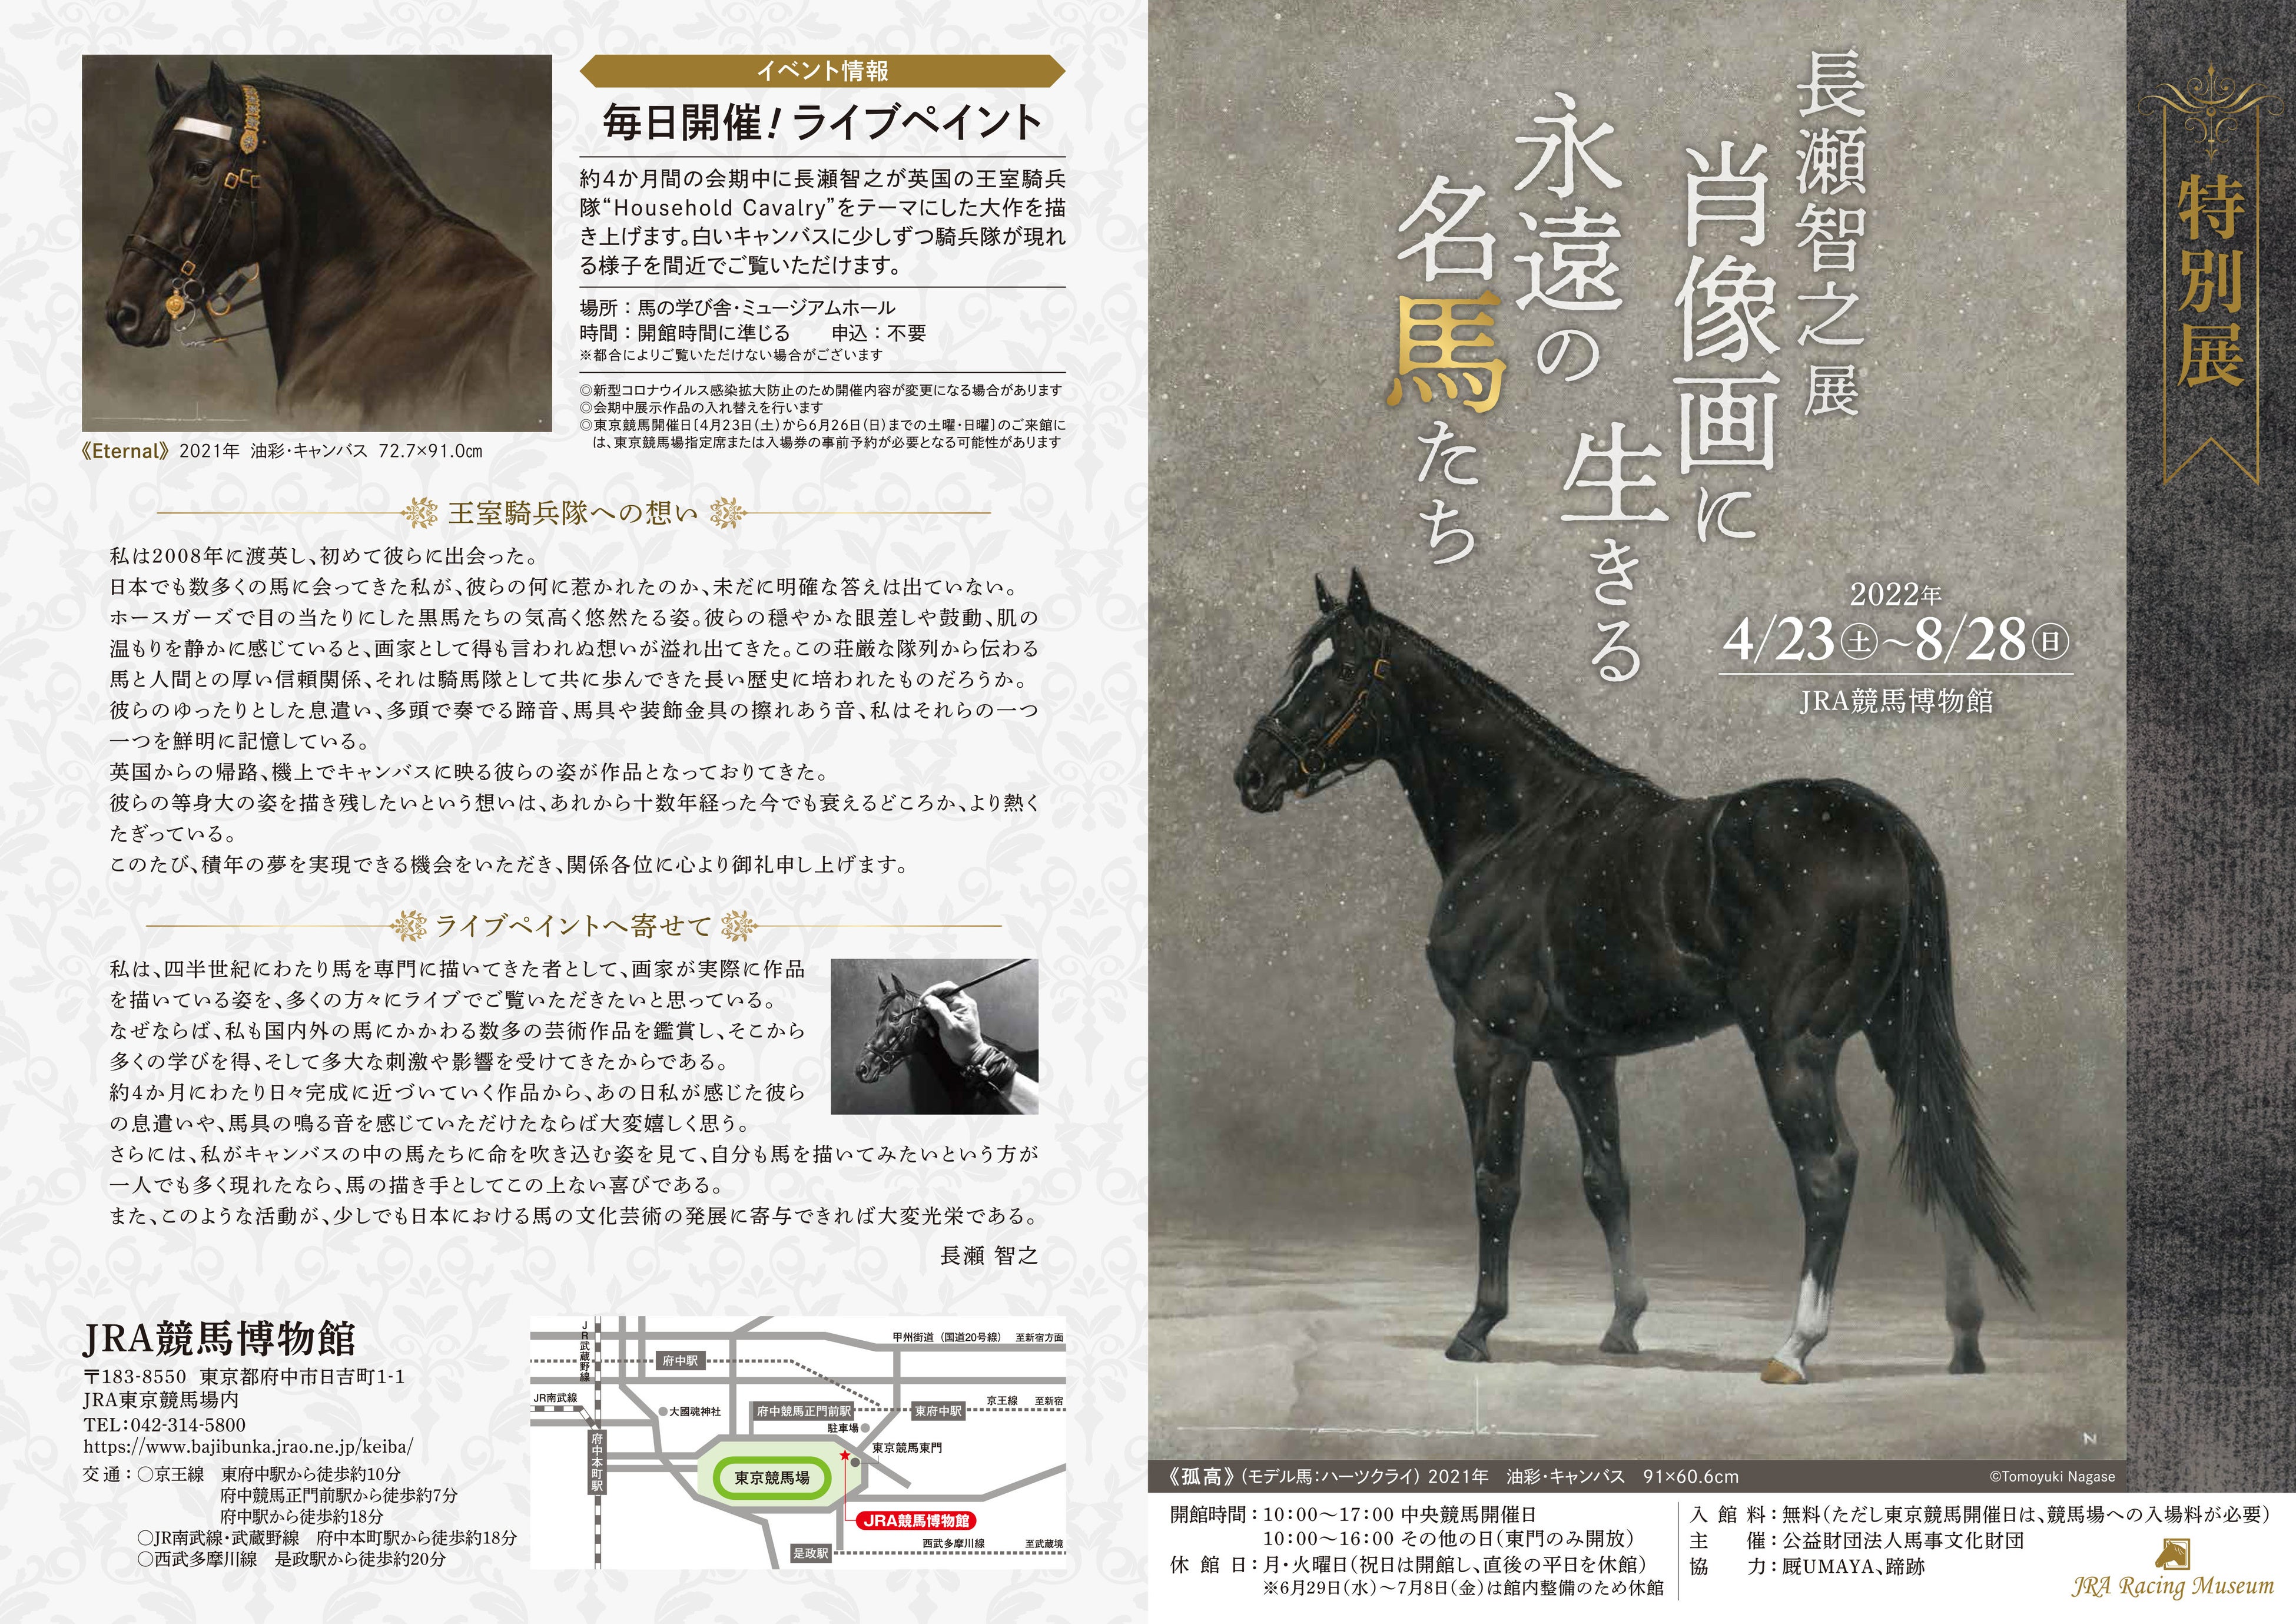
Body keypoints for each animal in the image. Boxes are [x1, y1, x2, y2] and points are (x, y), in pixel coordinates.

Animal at [1231, 570, 2028, 1383]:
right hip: (1893, 1037)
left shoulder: (1490, 1042)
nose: (1252, 773)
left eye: (1337, 672)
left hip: (1793, 1048)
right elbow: (1606, 1184)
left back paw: (1794, 1348)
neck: (1520, 830)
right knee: (1937, 1156)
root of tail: (1887, 827)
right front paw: (1623, 1324)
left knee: (1827, 1171)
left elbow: (1496, 1182)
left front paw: (1478, 1326)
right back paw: (1964, 1341)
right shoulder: (1582, 1057)